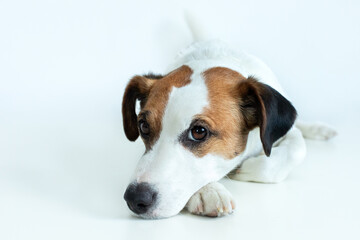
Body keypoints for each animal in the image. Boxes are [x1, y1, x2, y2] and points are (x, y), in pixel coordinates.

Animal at [121, 15, 338, 219]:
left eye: (199, 132)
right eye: (143, 126)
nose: (134, 198)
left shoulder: (282, 132)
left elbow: (296, 149)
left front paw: (246, 169)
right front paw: (208, 191)